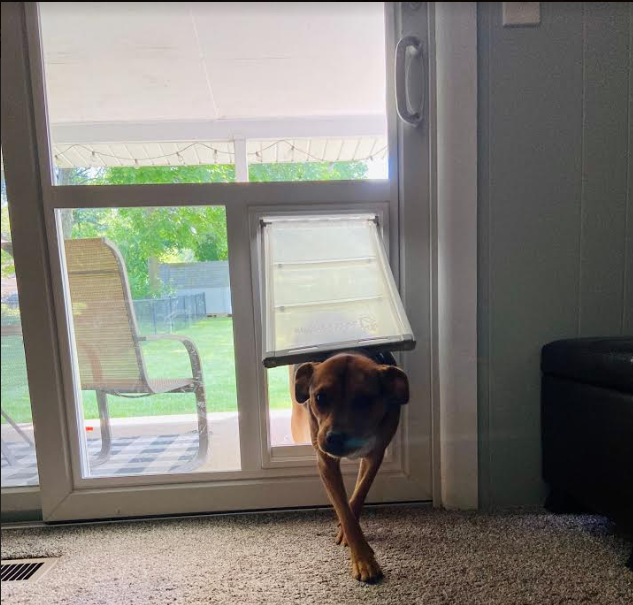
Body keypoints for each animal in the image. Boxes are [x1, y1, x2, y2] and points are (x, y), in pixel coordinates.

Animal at [288, 352, 408, 584]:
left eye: (364, 400)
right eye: (320, 397)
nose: (333, 438)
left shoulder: (375, 454)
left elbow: (359, 493)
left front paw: (349, 535)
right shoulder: (326, 461)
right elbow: (344, 511)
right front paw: (363, 560)